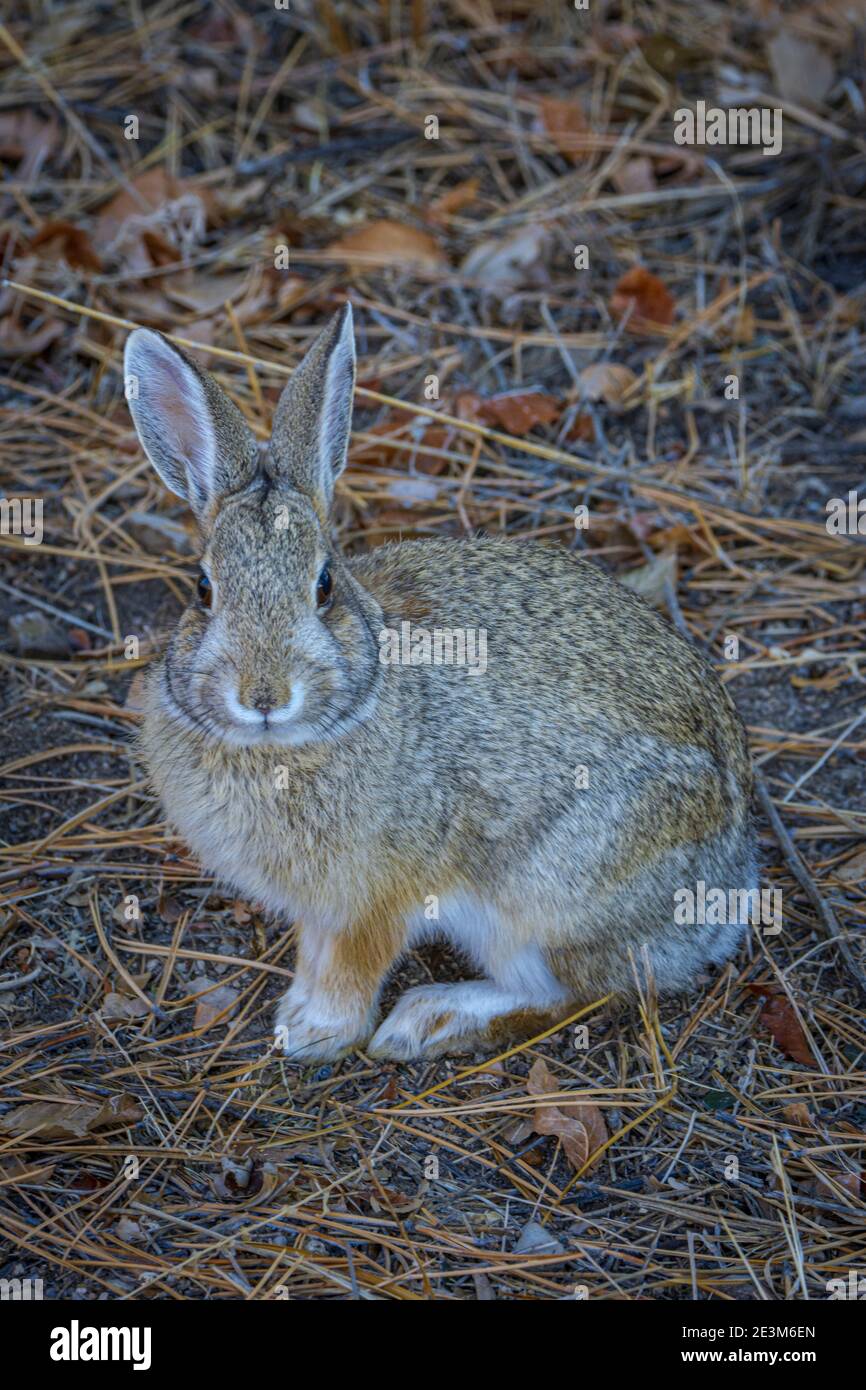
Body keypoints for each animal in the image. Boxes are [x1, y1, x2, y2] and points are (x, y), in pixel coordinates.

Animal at [124, 304, 757, 1061]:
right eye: (203, 589)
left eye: (324, 586)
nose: (264, 695)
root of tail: (725, 899)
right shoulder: (318, 905)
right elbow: (313, 953)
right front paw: (294, 1013)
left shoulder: (378, 893)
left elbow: (355, 962)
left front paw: (317, 1033)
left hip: (541, 901)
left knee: (580, 993)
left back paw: (428, 1020)